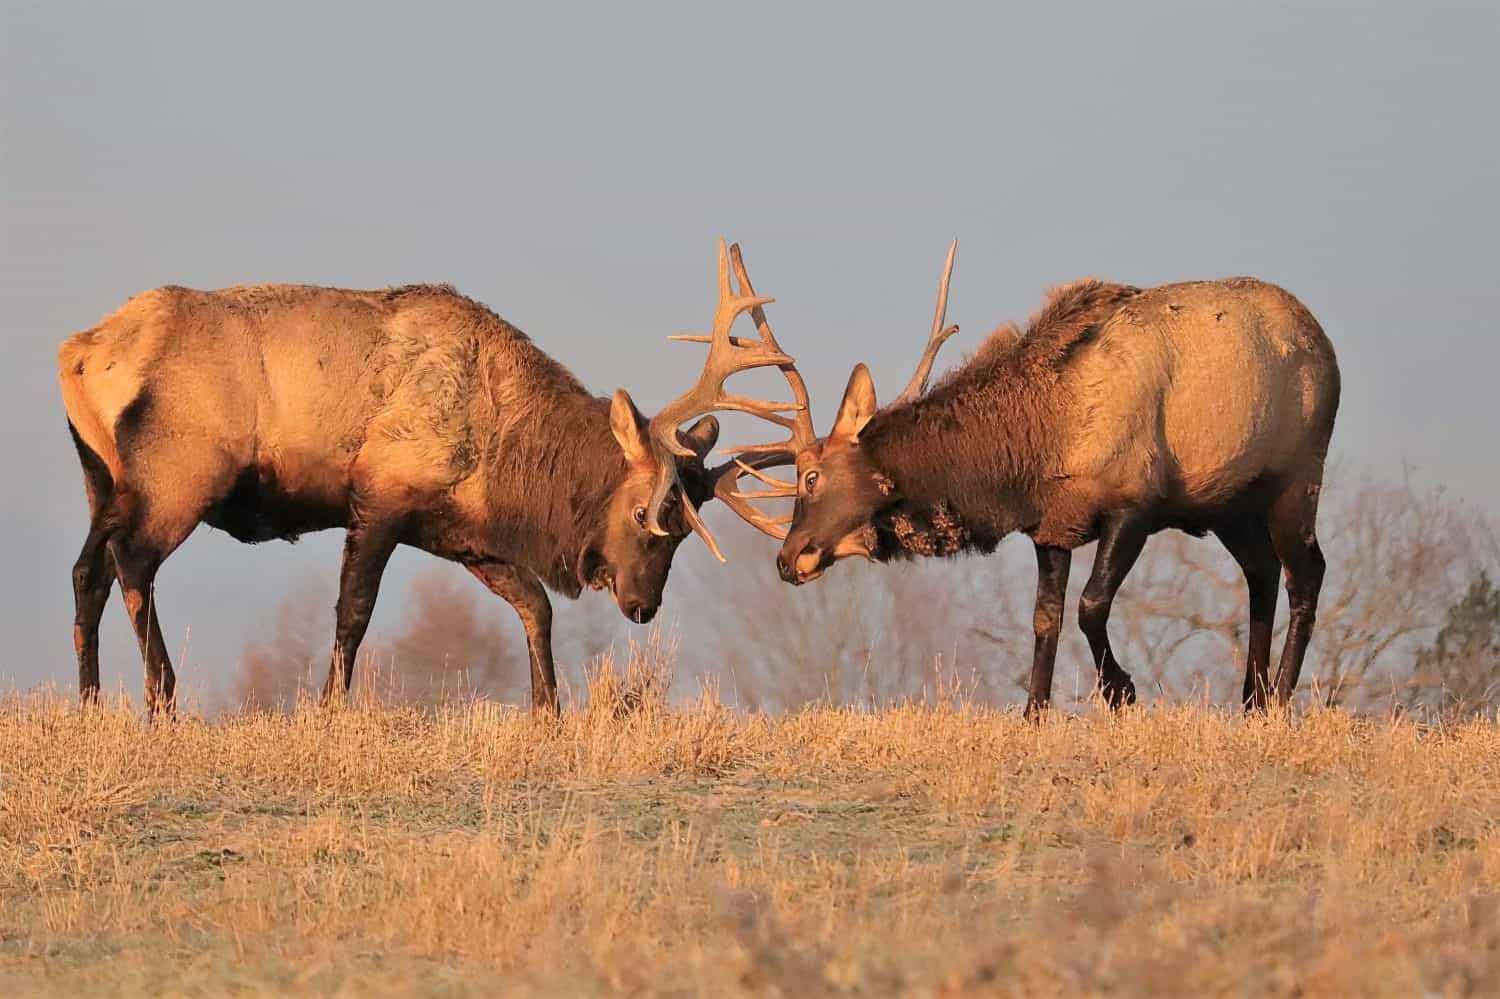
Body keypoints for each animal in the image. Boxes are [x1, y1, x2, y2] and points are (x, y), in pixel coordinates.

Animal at [57, 241, 796, 716]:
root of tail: (80, 352)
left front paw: (549, 711)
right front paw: (327, 710)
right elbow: (353, 611)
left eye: (685, 529)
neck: (509, 462)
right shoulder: (382, 494)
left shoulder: (456, 530)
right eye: (648, 513)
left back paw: (89, 703)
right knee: (132, 561)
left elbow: (535, 604)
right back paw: (160, 696)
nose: (643, 605)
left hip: (101, 477)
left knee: (87, 569)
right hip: (179, 473)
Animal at [690, 243, 1342, 714]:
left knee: (1306, 572)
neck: (1032, 447)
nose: (786, 558)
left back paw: (1280, 698)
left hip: (1297, 475)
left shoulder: (1134, 504)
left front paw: (1121, 690)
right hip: (1227, 505)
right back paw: (1251, 699)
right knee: (1261, 572)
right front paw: (1034, 711)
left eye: (811, 477)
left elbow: (1090, 606)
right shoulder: (1052, 526)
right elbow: (1044, 619)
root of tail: (1324, 340)